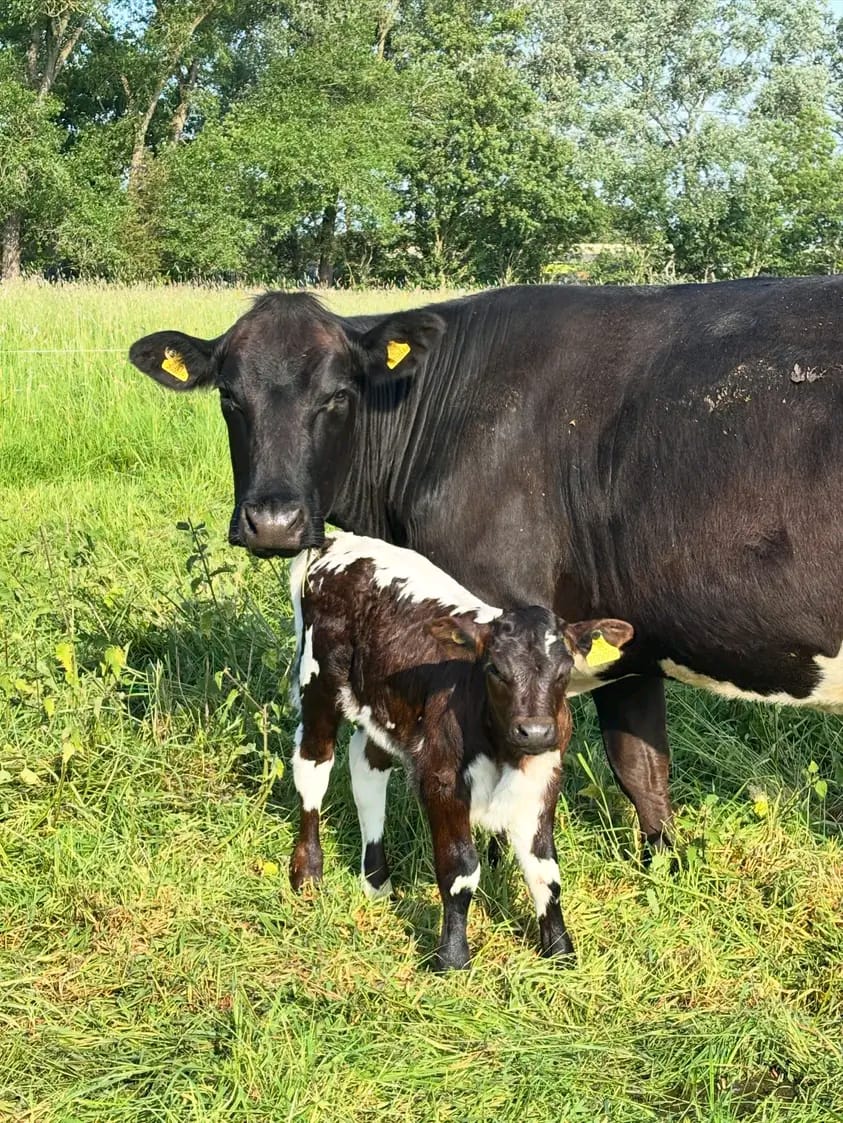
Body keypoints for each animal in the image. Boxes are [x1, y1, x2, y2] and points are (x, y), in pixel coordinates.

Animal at [129, 276, 843, 856]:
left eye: (337, 396)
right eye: (230, 396)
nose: (273, 520)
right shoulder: (629, 638)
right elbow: (642, 768)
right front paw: (662, 867)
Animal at [286, 530, 634, 968]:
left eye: (564, 670)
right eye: (495, 669)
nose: (535, 731)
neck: (505, 752)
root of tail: (339, 541)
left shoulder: (544, 780)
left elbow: (545, 871)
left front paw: (561, 952)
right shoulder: (442, 779)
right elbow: (460, 871)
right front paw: (452, 959)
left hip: (383, 707)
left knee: (367, 770)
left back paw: (377, 883)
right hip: (318, 682)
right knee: (313, 765)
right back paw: (307, 875)